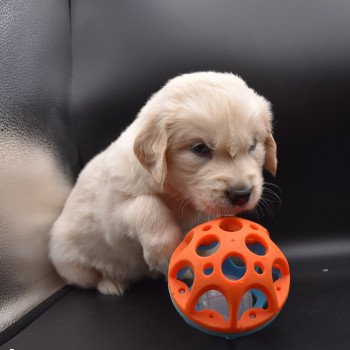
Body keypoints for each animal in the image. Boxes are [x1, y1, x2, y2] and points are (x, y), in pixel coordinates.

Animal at [48, 72, 276, 296]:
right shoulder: (112, 216)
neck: (177, 194)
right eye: (200, 148)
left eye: (253, 145)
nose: (241, 194)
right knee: (87, 277)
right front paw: (165, 252)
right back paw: (111, 282)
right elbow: (147, 204)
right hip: (70, 259)